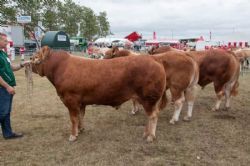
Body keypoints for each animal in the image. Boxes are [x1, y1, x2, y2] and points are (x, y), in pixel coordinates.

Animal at [31, 46, 168, 142]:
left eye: (34, 57)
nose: (30, 64)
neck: (60, 67)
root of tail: (154, 58)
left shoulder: (70, 99)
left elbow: (73, 118)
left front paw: (73, 135)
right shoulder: (81, 102)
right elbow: (80, 116)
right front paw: (81, 129)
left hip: (149, 98)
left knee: (153, 116)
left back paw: (150, 136)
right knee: (151, 115)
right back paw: (146, 133)